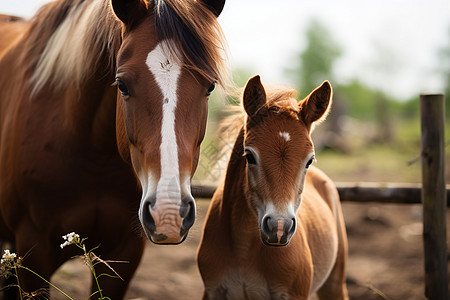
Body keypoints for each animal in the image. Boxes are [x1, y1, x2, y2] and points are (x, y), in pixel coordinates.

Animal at [0, 0, 227, 296]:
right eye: (122, 85)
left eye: (210, 86)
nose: (168, 214)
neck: (96, 157)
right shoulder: (33, 247)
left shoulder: (126, 251)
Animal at [197, 76, 348, 298]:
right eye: (249, 155)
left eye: (309, 160)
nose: (279, 228)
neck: (243, 249)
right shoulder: (212, 291)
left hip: (334, 283)